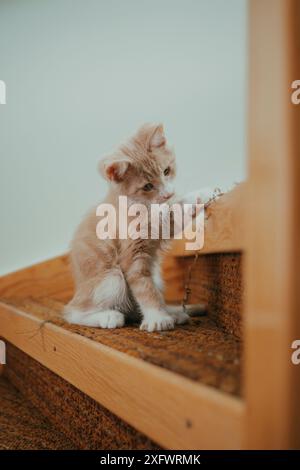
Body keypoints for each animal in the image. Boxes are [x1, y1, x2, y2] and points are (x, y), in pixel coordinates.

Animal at [63, 123, 209, 332]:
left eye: (166, 171)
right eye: (147, 186)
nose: (168, 194)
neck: (140, 204)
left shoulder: (159, 227)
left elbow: (173, 215)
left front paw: (201, 195)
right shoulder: (131, 254)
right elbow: (143, 284)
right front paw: (157, 318)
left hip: (155, 275)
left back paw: (173, 312)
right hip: (111, 277)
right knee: (73, 312)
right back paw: (108, 316)